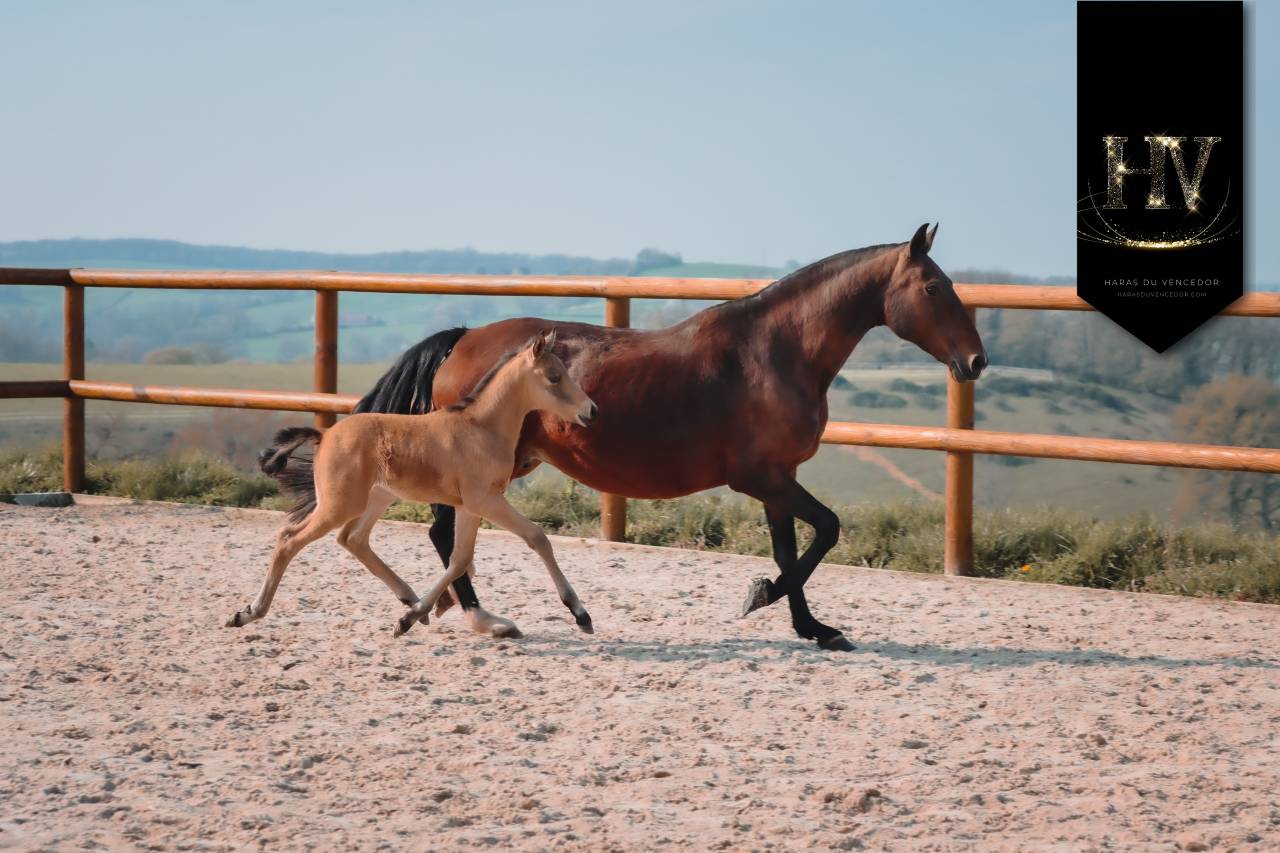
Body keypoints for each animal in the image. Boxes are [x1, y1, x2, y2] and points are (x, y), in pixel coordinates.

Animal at [225, 330, 601, 638]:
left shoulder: (469, 505)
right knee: (290, 539)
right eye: (554, 377)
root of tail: (326, 435)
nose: (592, 411)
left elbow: (460, 559)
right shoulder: (486, 499)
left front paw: (410, 618)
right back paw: (247, 613)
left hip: (376, 498)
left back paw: (409, 600)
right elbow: (537, 537)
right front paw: (581, 614)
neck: (480, 428)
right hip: (340, 503)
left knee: (352, 538)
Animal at [355, 223, 986, 651]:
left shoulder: (778, 480)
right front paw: (762, 596)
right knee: (446, 533)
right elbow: (826, 530)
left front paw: (812, 626)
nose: (975, 361)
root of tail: (462, 338)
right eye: (933, 288)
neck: (775, 353)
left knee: (449, 534)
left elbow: (791, 548)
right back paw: (476, 617)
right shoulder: (761, 477)